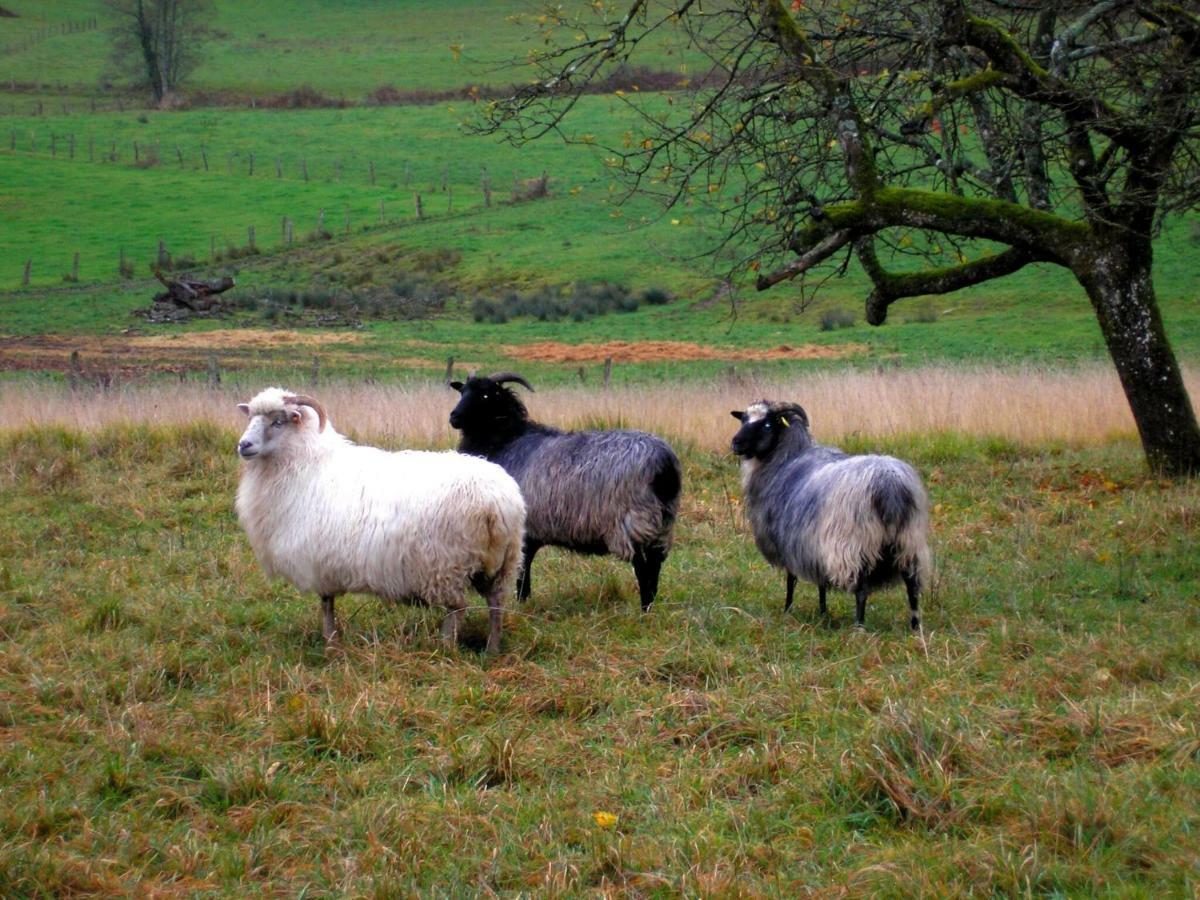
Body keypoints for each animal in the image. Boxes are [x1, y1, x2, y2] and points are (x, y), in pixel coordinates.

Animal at [236, 388, 528, 657]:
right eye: (250, 418)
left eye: (278, 421)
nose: (243, 445)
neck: (306, 465)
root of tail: (499, 501)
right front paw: (332, 642)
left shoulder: (318, 562)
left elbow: (326, 604)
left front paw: (330, 644)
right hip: (502, 562)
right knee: (496, 602)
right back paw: (492, 649)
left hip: (446, 564)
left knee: (457, 607)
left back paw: (444, 646)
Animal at [448, 369, 681, 609]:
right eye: (463, 391)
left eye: (485, 395)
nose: (454, 417)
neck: (506, 441)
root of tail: (664, 465)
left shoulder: (523, 530)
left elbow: (523, 574)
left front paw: (522, 605)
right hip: (661, 523)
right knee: (655, 566)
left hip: (632, 523)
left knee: (643, 570)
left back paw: (645, 610)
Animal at [724, 398, 931, 628]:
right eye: (743, 419)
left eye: (767, 425)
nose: (736, 443)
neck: (785, 459)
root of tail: (890, 485)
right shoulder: (813, 547)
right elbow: (821, 581)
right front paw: (823, 611)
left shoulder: (789, 541)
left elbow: (791, 580)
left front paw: (788, 610)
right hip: (908, 540)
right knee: (912, 586)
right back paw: (915, 627)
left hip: (855, 544)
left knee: (861, 589)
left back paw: (859, 626)